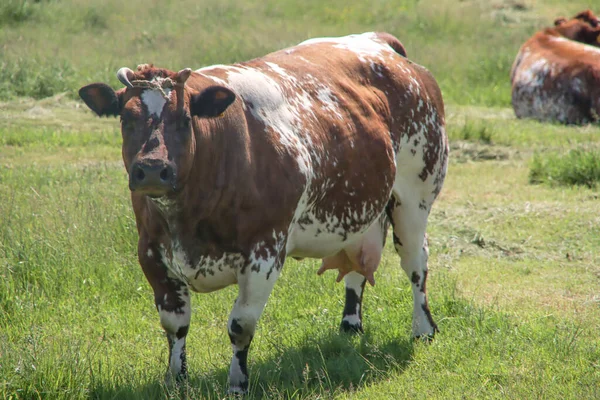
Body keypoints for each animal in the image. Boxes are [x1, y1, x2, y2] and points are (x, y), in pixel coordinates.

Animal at [77, 32, 448, 394]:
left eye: (184, 119)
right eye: (126, 118)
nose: (153, 170)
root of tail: (381, 41)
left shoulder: (265, 252)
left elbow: (240, 325)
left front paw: (237, 383)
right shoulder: (151, 251)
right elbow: (175, 325)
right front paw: (175, 381)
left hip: (415, 197)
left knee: (416, 263)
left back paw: (423, 329)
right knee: (358, 266)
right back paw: (350, 324)